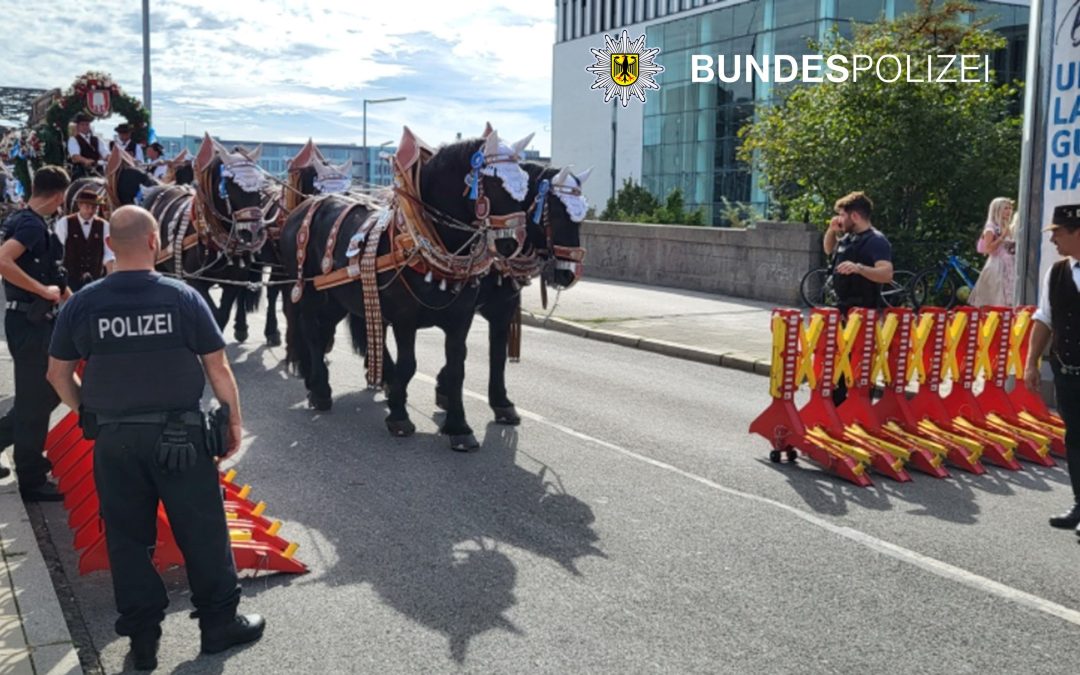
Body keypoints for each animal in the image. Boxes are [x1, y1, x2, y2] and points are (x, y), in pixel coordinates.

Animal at [280, 128, 529, 449]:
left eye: (524, 183)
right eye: (497, 182)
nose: (513, 243)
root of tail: (306, 204)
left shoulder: (461, 319)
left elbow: (457, 367)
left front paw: (459, 427)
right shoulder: (404, 318)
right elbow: (408, 364)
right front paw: (398, 415)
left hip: (337, 298)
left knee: (324, 332)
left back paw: (315, 382)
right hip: (310, 291)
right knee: (311, 331)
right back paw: (321, 390)